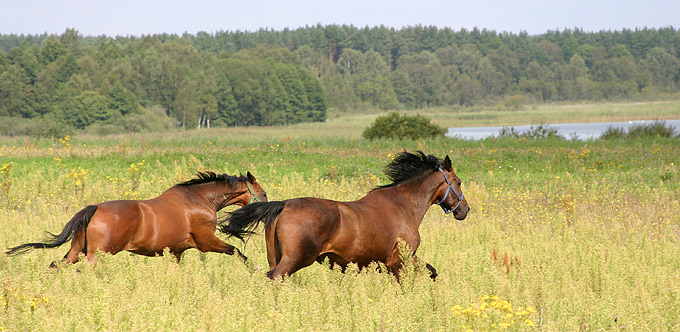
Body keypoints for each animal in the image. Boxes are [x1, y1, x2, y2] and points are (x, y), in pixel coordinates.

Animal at [8, 170, 268, 266]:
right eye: (263, 193)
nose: (266, 210)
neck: (201, 199)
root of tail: (95, 208)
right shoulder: (206, 242)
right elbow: (237, 251)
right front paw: (254, 269)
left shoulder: (176, 251)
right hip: (97, 254)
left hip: (76, 250)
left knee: (56, 265)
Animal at [220, 151, 470, 280]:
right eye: (458, 182)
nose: (465, 210)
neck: (403, 205)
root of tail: (285, 205)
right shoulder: (399, 261)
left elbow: (431, 271)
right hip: (296, 259)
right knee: (276, 278)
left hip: (276, 257)